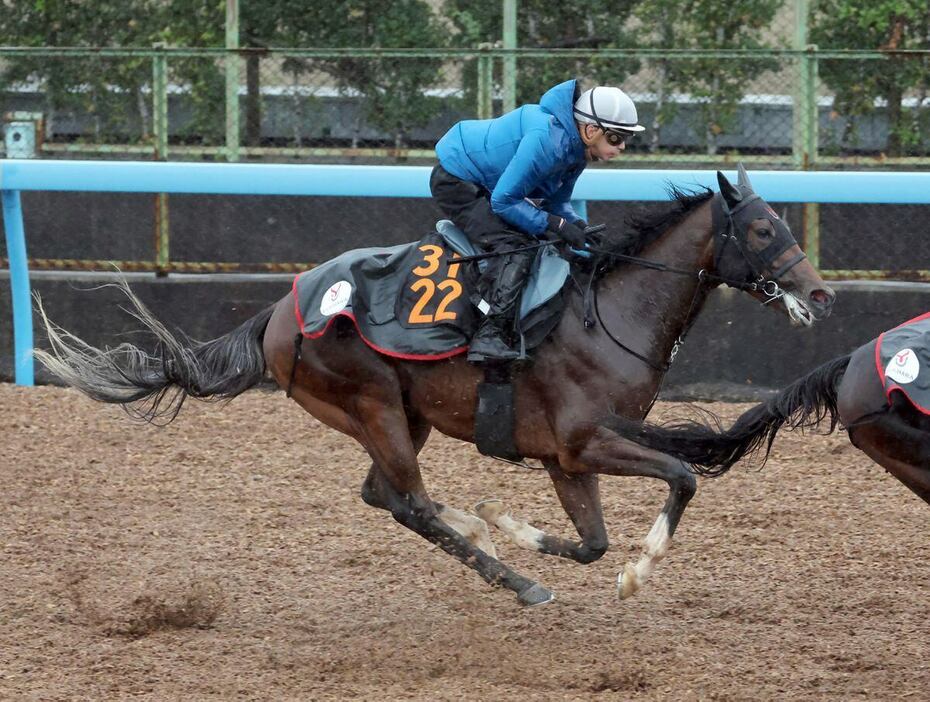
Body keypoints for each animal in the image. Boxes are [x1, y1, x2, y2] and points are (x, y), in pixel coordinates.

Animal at [34, 168, 832, 608]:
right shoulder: (584, 442)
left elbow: (592, 542)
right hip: (371, 402)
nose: (820, 293)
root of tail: (280, 313)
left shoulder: (564, 457)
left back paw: (490, 542)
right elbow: (679, 480)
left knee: (384, 496)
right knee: (410, 502)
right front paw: (635, 573)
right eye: (763, 230)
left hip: (398, 413)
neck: (611, 313)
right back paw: (512, 573)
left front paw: (513, 524)